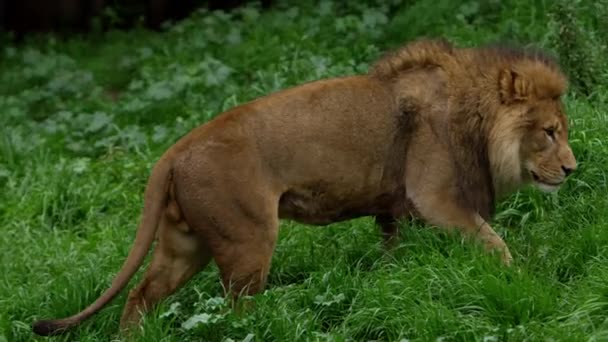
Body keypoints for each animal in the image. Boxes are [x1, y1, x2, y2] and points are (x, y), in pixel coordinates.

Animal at [30, 38, 576, 336]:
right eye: (549, 132)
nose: (573, 170)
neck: (473, 115)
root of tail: (174, 150)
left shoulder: (396, 210)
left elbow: (396, 256)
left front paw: (393, 286)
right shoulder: (436, 197)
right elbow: (493, 242)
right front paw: (520, 281)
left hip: (185, 244)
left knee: (141, 294)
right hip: (248, 241)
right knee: (234, 310)